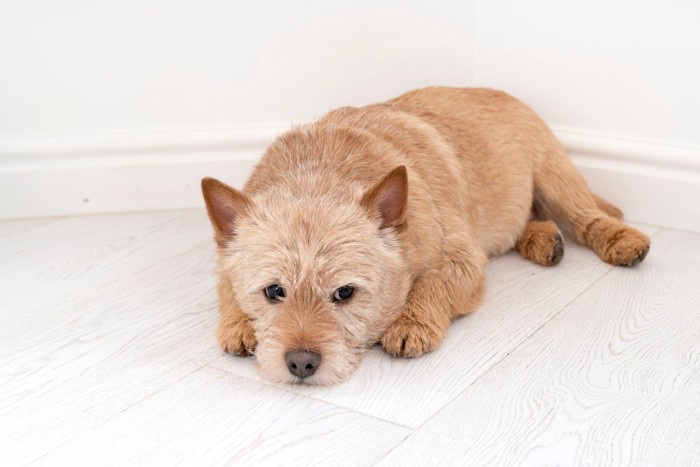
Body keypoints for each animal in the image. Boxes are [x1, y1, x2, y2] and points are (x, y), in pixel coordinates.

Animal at [201, 86, 652, 386]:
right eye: (273, 291)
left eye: (344, 293)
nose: (300, 363)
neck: (319, 174)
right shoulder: (223, 262)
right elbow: (227, 287)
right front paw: (238, 324)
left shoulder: (463, 259)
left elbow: (433, 283)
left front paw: (411, 321)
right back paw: (542, 239)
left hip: (554, 172)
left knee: (584, 214)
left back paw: (619, 240)